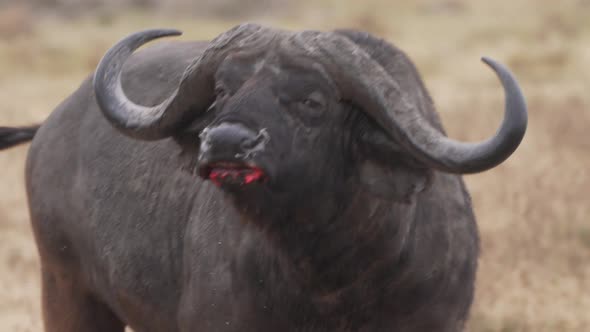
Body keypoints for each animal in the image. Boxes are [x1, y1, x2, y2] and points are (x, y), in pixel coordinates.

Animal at [0, 24, 528, 332]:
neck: (335, 277)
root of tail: (51, 127)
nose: (226, 143)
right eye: (221, 91)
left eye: (312, 100)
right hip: (67, 290)